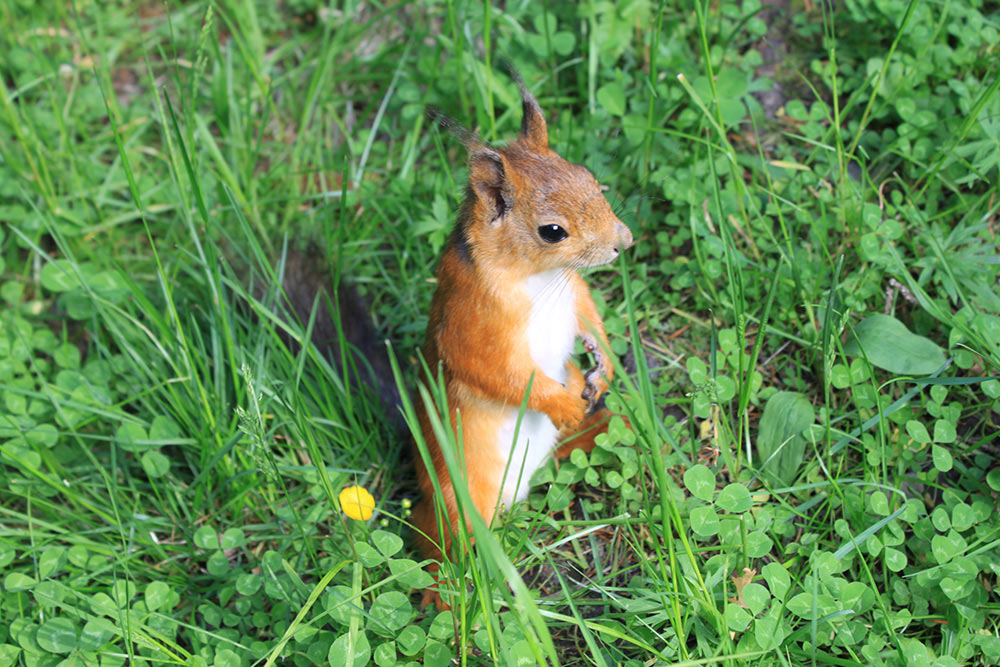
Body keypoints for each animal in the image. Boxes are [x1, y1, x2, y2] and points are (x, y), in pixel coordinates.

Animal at [412, 78, 632, 604]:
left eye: (590, 178)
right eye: (552, 231)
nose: (625, 241)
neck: (538, 278)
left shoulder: (573, 292)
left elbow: (590, 318)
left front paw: (604, 365)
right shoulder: (471, 321)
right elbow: (496, 374)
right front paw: (564, 404)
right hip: (457, 500)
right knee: (440, 542)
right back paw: (444, 593)